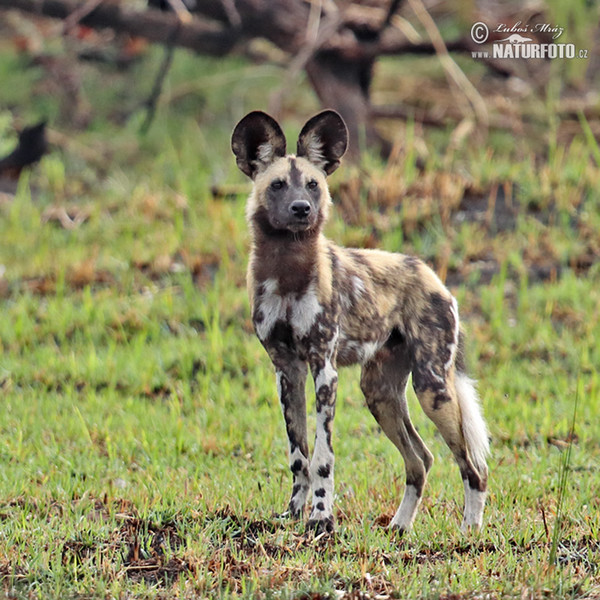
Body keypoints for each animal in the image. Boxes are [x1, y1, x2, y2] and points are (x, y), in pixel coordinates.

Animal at [232, 109, 490, 536]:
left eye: (313, 185)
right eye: (277, 185)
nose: (301, 208)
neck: (287, 270)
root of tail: (434, 278)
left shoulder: (324, 370)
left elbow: (322, 458)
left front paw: (321, 518)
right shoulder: (288, 372)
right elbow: (299, 456)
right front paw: (293, 513)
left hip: (433, 388)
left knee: (472, 467)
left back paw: (469, 532)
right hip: (380, 394)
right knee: (421, 460)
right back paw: (399, 528)